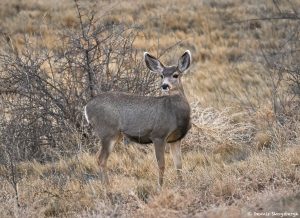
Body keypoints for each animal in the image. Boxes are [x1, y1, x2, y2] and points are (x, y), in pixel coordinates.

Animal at [84, 50, 192, 186]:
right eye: (161, 75)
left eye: (175, 75)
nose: (164, 86)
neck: (175, 114)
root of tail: (86, 107)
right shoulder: (158, 135)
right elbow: (161, 164)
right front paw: (160, 186)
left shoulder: (175, 139)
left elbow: (179, 165)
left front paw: (182, 185)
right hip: (107, 131)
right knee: (100, 159)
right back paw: (106, 187)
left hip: (115, 134)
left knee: (101, 159)